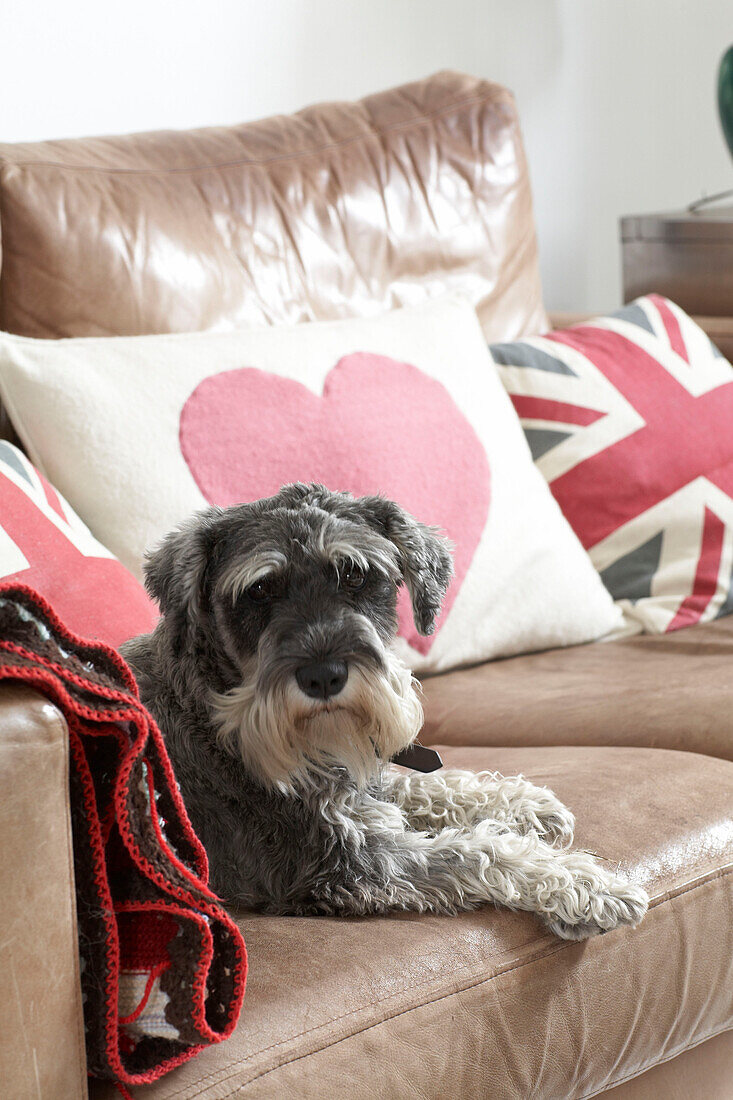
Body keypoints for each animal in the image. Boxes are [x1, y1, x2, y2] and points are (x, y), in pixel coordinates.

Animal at [119, 486, 647, 941]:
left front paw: (526, 804)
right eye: (260, 590)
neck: (212, 710)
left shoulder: (357, 787)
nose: (324, 676)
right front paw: (586, 885)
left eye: (354, 574)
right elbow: (478, 851)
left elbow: (424, 785)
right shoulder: (341, 864)